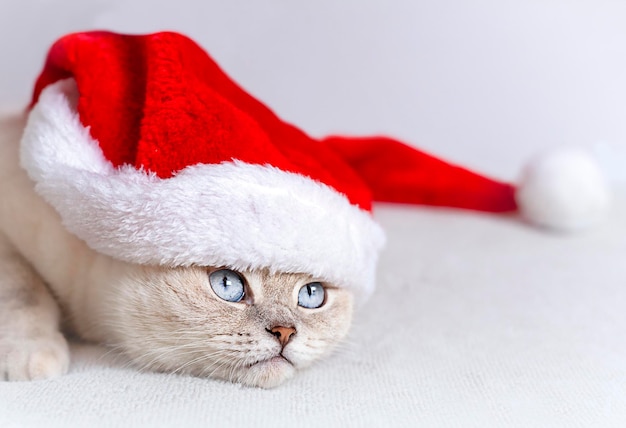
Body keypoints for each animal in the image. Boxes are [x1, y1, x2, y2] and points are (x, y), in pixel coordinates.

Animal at [0, 113, 352, 388]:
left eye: (311, 294)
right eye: (227, 284)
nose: (285, 332)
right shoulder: (9, 241)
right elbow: (26, 294)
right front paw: (33, 357)